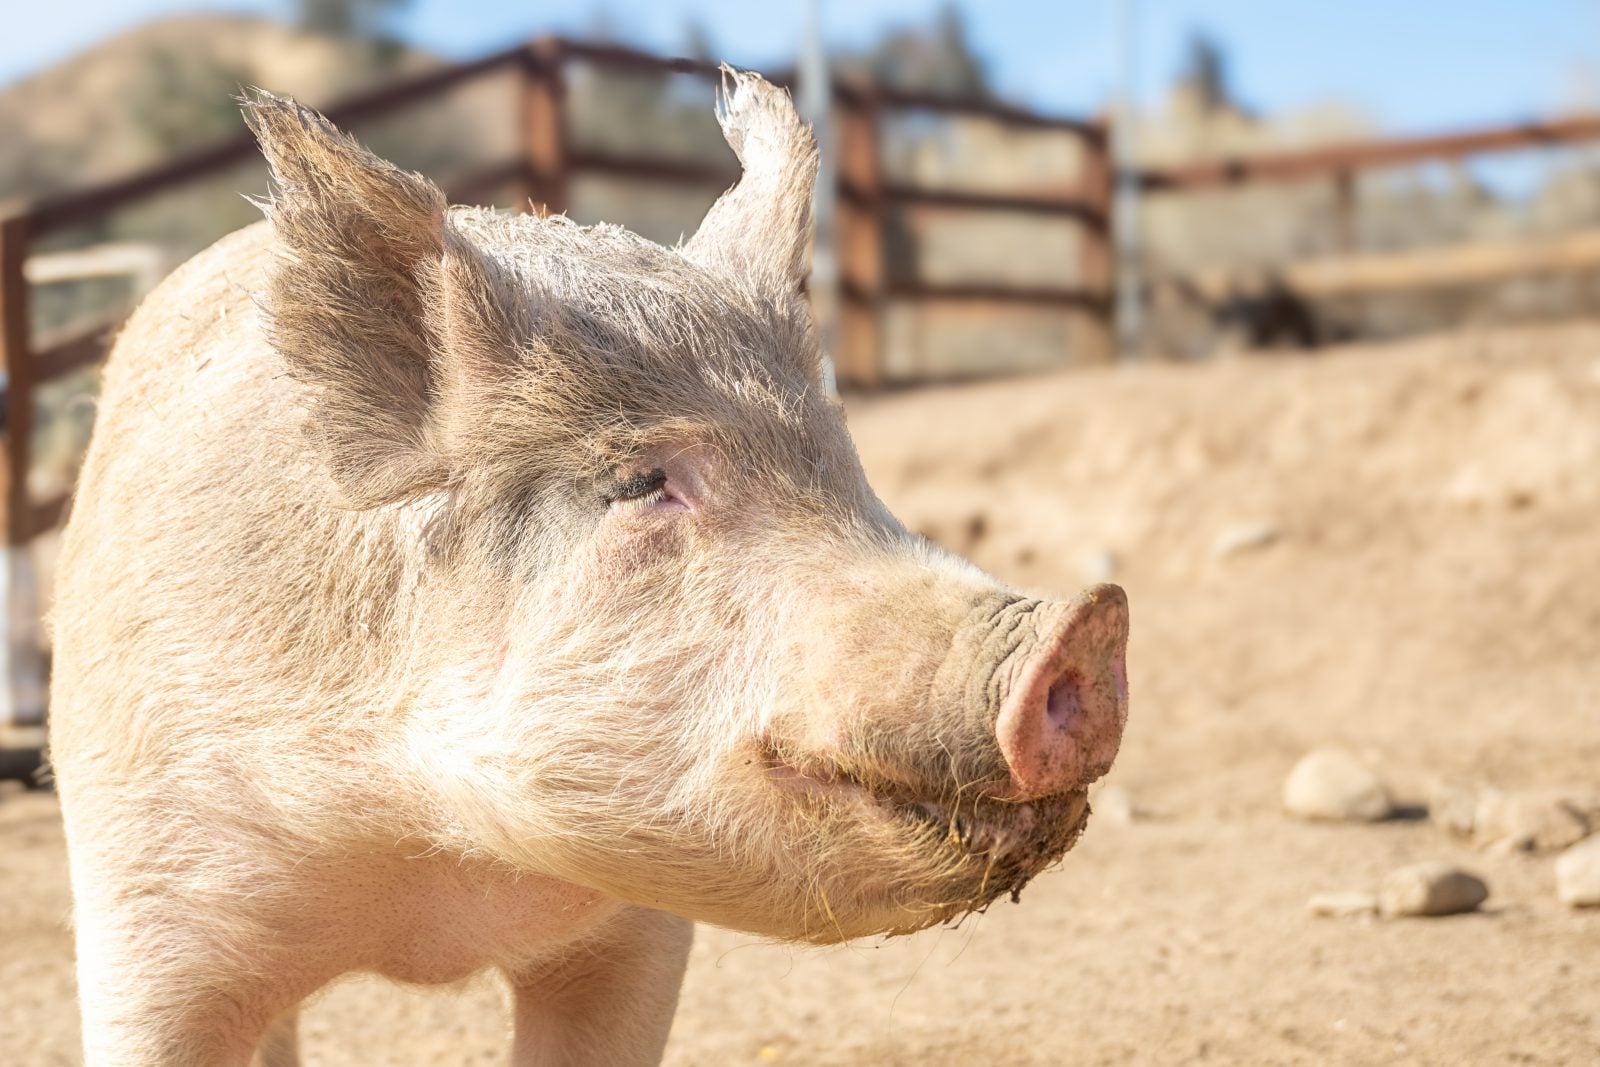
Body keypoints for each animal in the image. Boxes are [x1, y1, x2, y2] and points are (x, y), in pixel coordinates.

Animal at [47, 71, 1130, 1067]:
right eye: (644, 480)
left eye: (844, 461)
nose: (1088, 619)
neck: (430, 865)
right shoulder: (143, 894)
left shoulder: (638, 933)